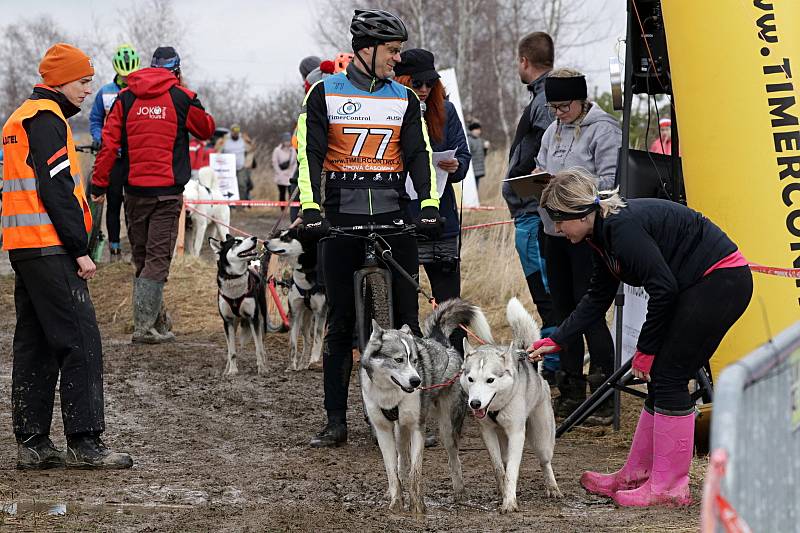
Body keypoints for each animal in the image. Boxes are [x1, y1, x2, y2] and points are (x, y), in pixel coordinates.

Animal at [358, 298, 494, 512]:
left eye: (415, 361)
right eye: (399, 360)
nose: (416, 381)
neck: (390, 393)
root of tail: (440, 341)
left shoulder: (417, 428)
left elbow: (416, 472)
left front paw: (417, 506)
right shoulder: (383, 431)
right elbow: (392, 472)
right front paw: (396, 502)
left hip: (447, 429)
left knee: (454, 460)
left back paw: (460, 493)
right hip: (400, 430)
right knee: (401, 460)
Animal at [456, 298, 564, 510]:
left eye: (490, 380)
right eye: (471, 379)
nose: (475, 403)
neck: (495, 408)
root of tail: (531, 364)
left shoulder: (516, 434)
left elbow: (513, 470)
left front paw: (509, 502)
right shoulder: (487, 432)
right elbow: (499, 467)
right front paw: (503, 491)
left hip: (541, 438)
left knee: (545, 462)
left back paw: (552, 487)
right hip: (503, 438)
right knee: (505, 460)